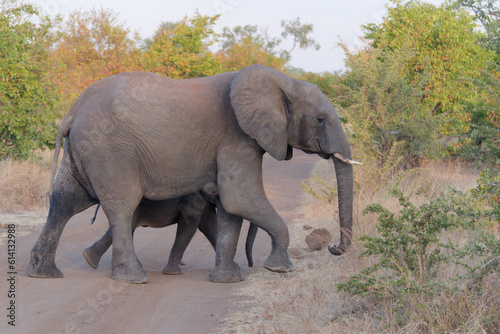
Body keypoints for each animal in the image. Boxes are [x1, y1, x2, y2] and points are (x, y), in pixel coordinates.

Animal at [83, 192, 258, 276]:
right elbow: (191, 224)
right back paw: (90, 259)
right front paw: (174, 272)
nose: (251, 265)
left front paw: (234, 267)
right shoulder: (193, 198)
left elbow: (209, 224)